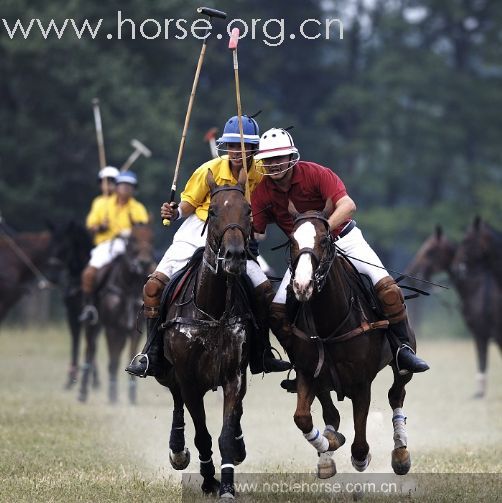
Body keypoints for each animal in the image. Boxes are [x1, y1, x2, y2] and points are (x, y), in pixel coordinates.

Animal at [79, 224, 155, 406]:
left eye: (152, 237)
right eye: (133, 239)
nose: (144, 262)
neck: (128, 285)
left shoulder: (134, 330)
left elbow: (131, 356)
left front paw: (132, 396)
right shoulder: (112, 328)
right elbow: (113, 362)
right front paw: (113, 396)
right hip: (93, 324)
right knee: (89, 350)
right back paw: (83, 392)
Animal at [157, 170, 253, 500]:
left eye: (248, 211)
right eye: (212, 211)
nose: (235, 256)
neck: (211, 310)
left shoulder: (234, 374)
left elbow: (225, 431)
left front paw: (226, 484)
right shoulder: (188, 378)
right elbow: (202, 433)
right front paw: (209, 479)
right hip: (167, 370)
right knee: (175, 400)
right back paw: (176, 450)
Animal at [286, 201, 412, 476]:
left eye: (324, 240)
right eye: (291, 240)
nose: (302, 285)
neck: (329, 325)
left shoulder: (361, 382)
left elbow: (360, 443)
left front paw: (359, 457)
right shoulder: (308, 372)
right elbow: (303, 417)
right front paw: (328, 445)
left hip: (402, 363)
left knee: (396, 393)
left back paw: (400, 452)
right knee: (331, 414)